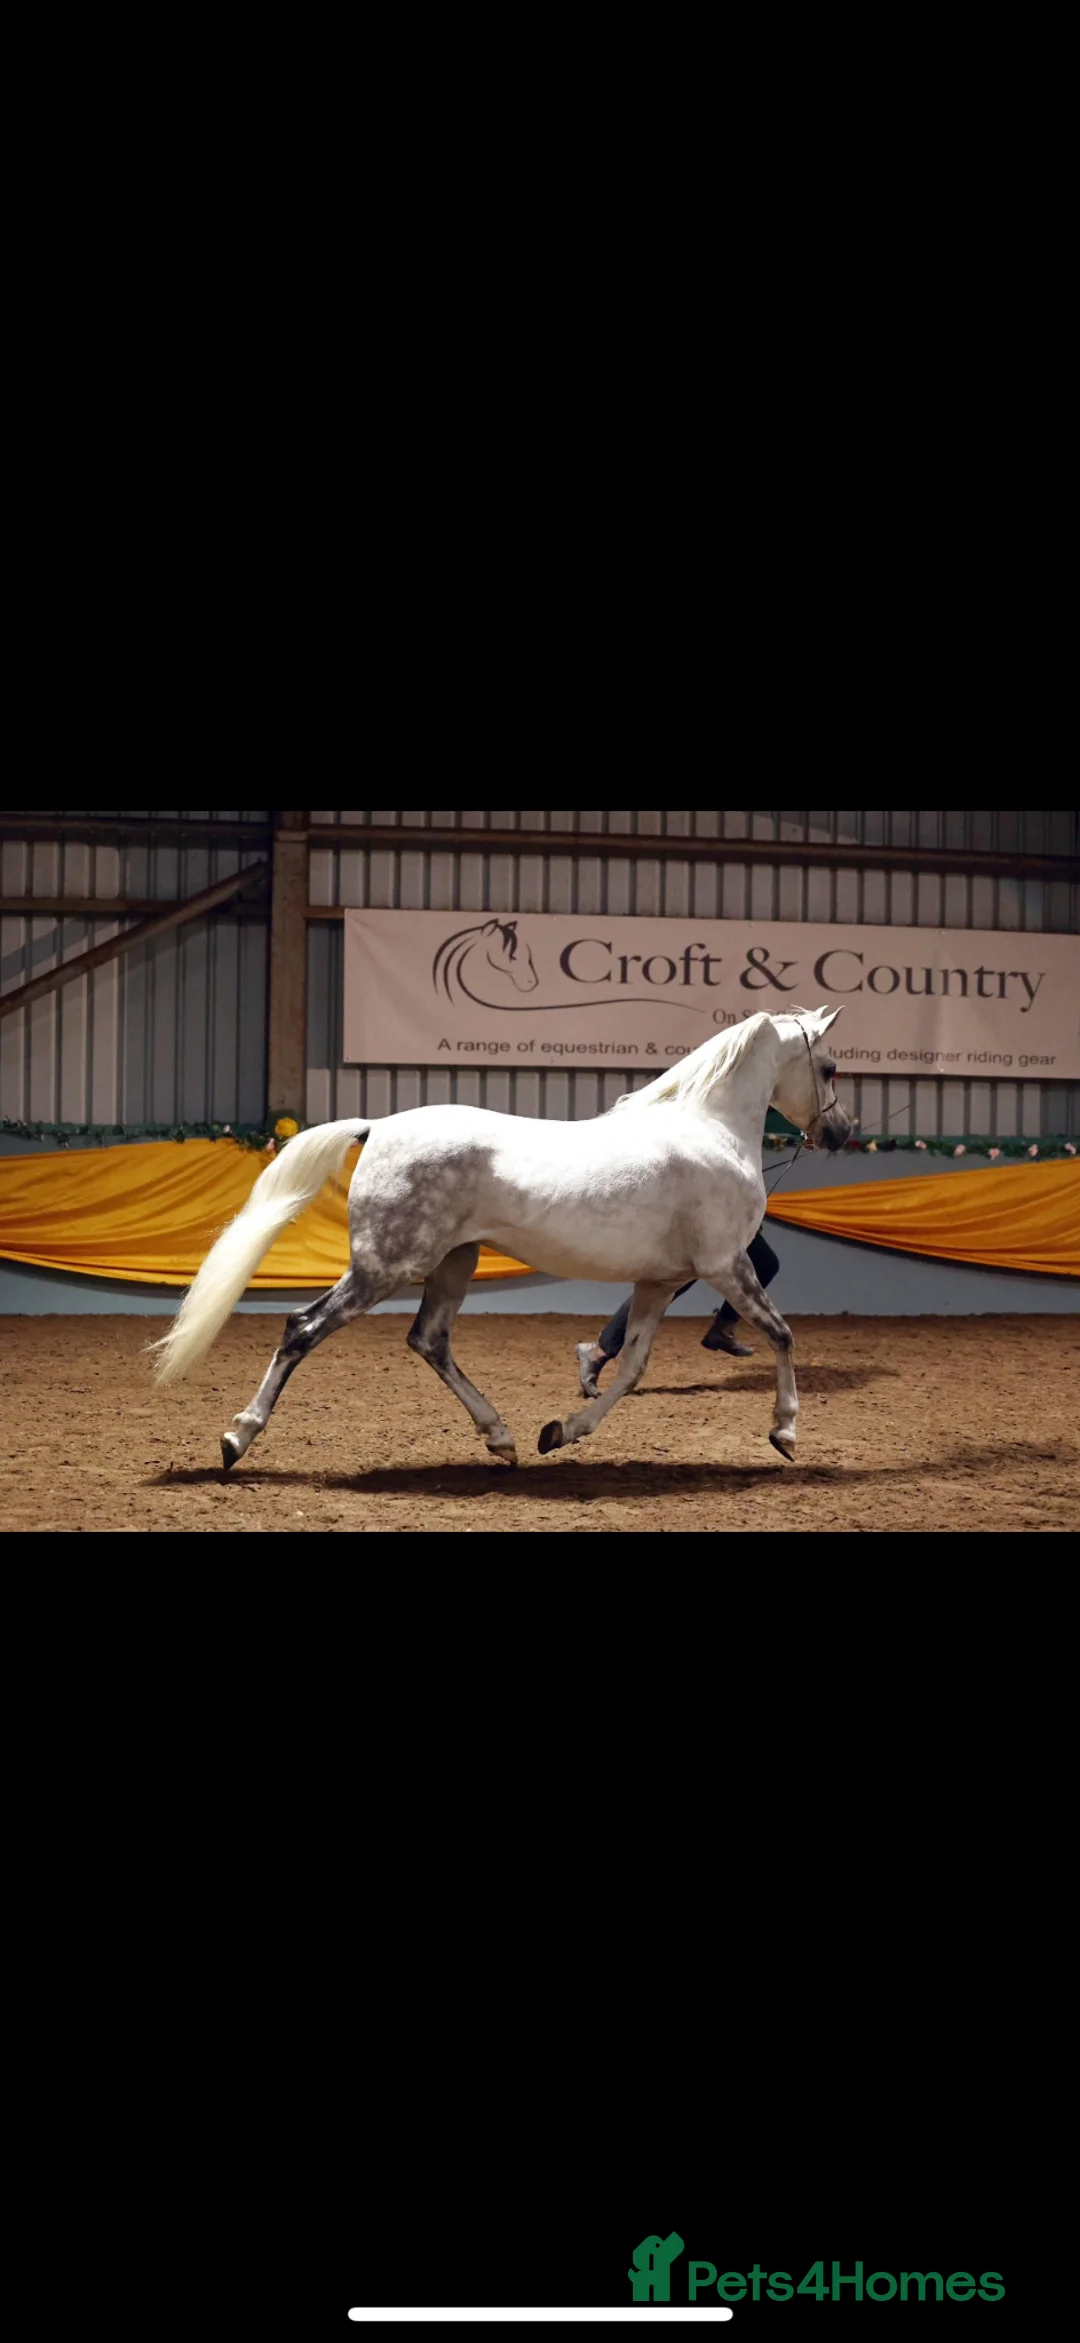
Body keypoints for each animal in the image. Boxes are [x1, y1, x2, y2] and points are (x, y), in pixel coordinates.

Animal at [150, 1006, 852, 1469]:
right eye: (830, 1065)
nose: (842, 1132)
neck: (712, 1129)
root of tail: (378, 1126)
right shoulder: (726, 1264)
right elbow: (783, 1335)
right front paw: (786, 1434)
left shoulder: (660, 1281)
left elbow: (630, 1369)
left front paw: (560, 1431)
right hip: (385, 1267)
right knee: (303, 1328)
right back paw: (236, 1439)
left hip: (452, 1264)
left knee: (428, 1340)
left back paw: (503, 1438)